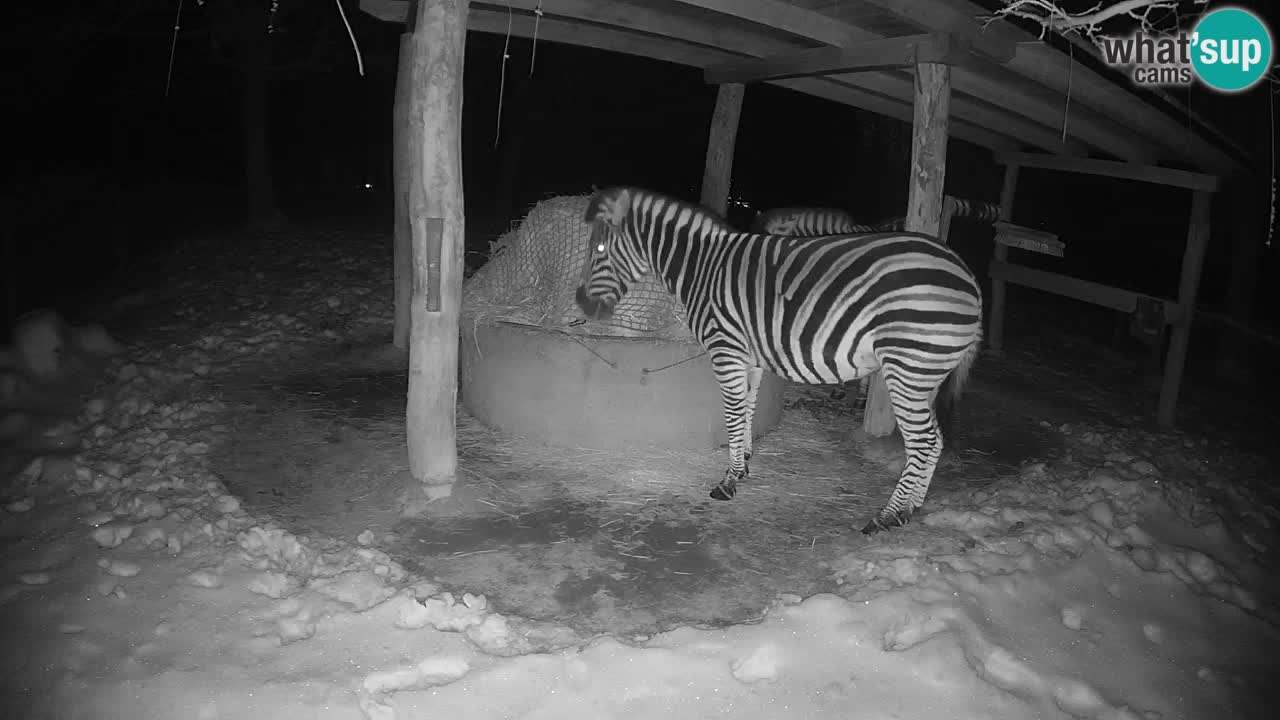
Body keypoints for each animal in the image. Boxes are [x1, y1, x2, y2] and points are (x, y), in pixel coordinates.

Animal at [576, 187, 984, 535]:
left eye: (599, 249)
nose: (581, 304)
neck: (702, 269)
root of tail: (968, 276)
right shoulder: (749, 355)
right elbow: (748, 407)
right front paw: (743, 464)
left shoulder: (725, 349)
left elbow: (732, 411)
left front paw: (727, 482)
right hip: (925, 374)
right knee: (936, 439)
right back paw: (911, 508)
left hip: (908, 367)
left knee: (923, 441)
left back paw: (886, 516)